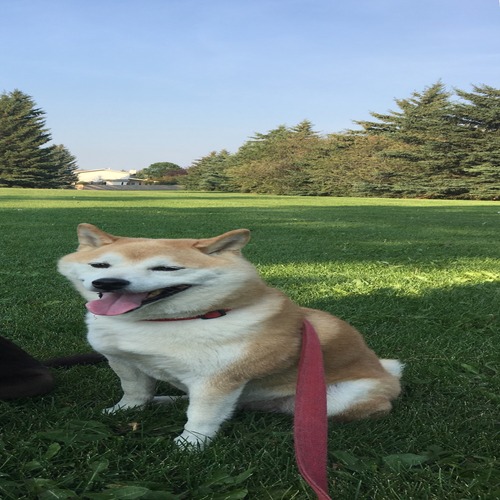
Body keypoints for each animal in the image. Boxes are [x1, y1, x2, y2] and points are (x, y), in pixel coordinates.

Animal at [58, 224, 403, 447]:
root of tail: (389, 375)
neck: (162, 321)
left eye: (166, 269)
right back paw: (166, 399)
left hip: (337, 400)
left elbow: (201, 417)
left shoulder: (218, 380)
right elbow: (134, 392)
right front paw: (125, 411)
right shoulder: (125, 361)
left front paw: (189, 445)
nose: (108, 283)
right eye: (100, 265)